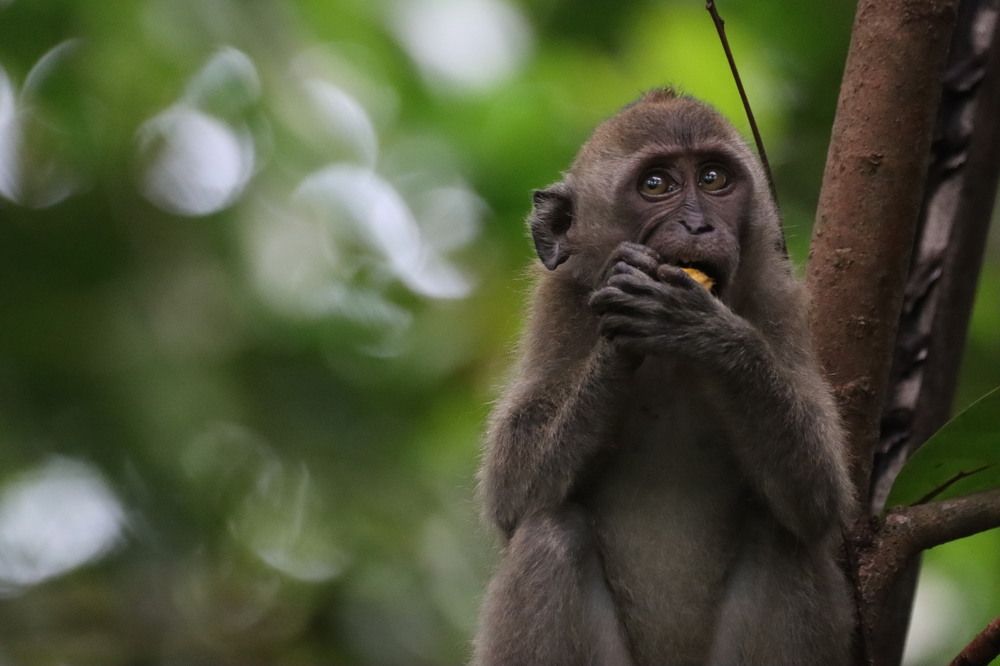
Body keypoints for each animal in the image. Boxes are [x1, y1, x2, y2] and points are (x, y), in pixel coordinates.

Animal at [472, 89, 855, 666]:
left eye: (714, 178)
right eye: (656, 185)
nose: (699, 227)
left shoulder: (778, 300)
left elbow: (819, 495)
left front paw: (703, 327)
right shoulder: (559, 305)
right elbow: (511, 486)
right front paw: (617, 348)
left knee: (782, 535)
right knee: (549, 533)